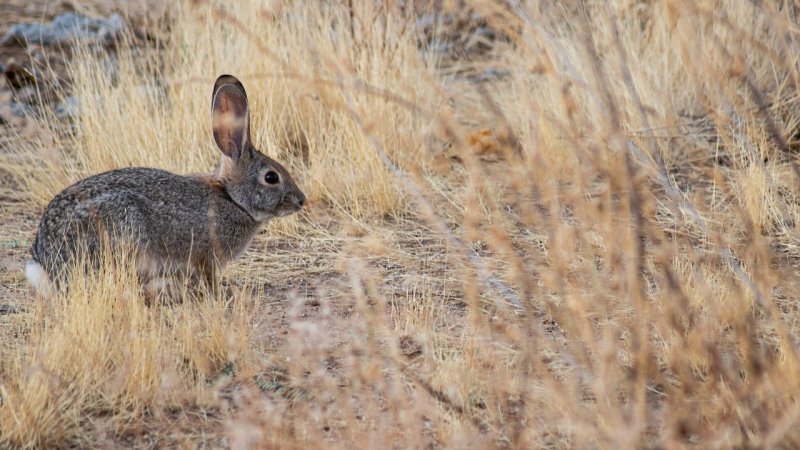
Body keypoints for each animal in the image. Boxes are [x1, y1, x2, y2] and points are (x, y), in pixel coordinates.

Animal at [25, 74, 306, 298]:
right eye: (271, 177)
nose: (301, 200)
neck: (233, 199)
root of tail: (46, 261)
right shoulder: (206, 258)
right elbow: (209, 279)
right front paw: (223, 293)